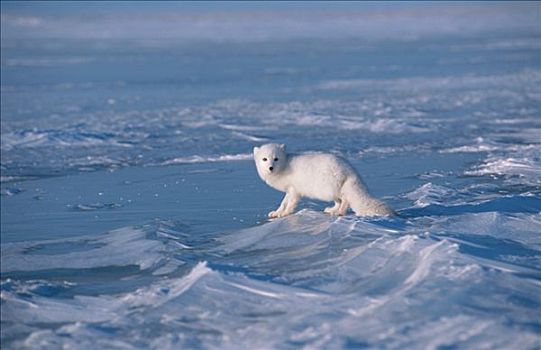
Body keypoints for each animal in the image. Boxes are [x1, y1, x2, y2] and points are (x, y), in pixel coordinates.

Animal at [253, 144, 392, 217]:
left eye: (276, 159)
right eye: (264, 159)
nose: (270, 167)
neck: (285, 165)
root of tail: (350, 169)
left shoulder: (294, 190)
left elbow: (289, 203)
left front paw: (285, 213)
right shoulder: (289, 190)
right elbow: (283, 203)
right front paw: (277, 213)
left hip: (327, 189)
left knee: (345, 199)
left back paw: (340, 212)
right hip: (330, 191)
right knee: (339, 201)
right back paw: (332, 210)